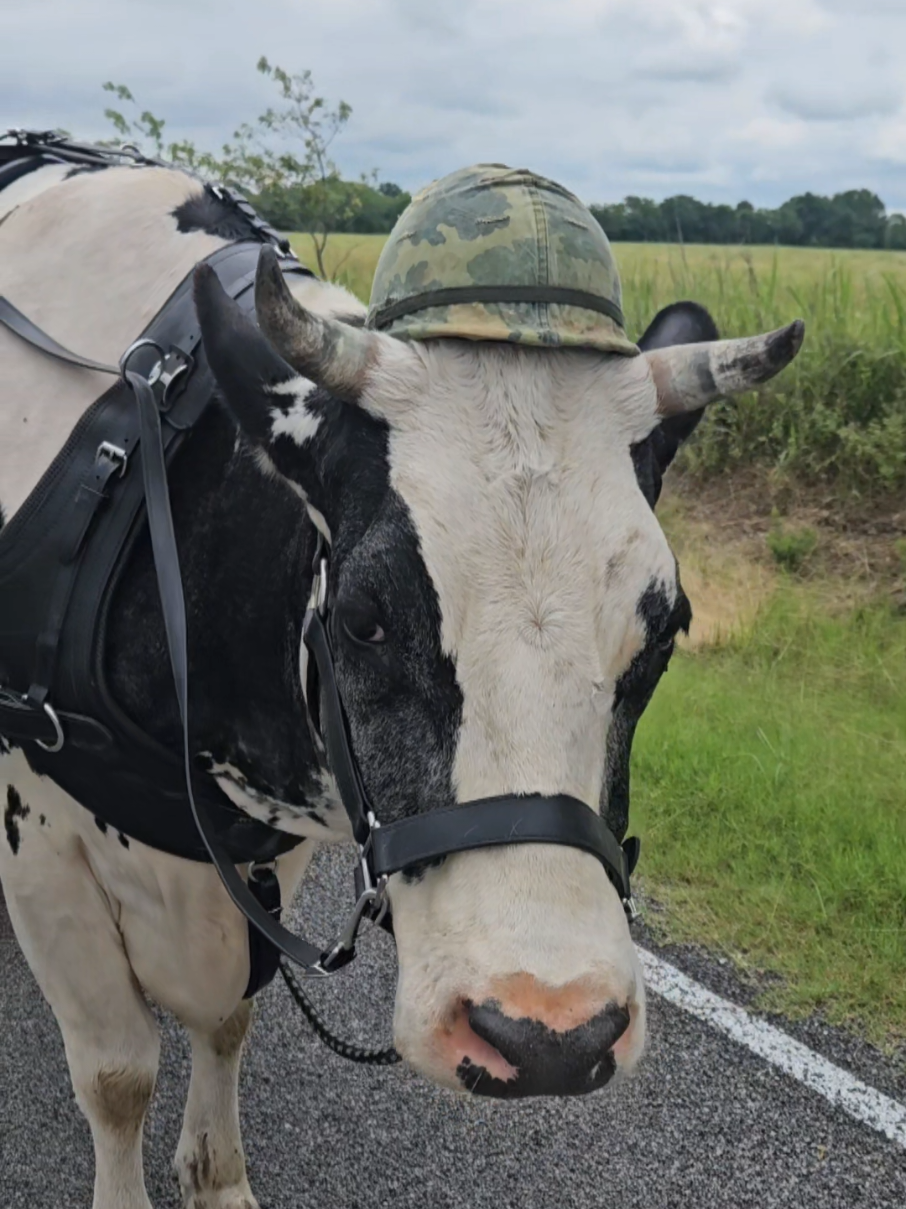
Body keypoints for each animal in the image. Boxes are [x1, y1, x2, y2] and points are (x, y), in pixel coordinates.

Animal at [0, 158, 802, 1209]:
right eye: (362, 619)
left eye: (666, 631)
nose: (549, 1034)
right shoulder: (41, 838)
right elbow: (117, 1071)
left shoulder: (270, 841)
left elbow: (225, 1018)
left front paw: (216, 1176)